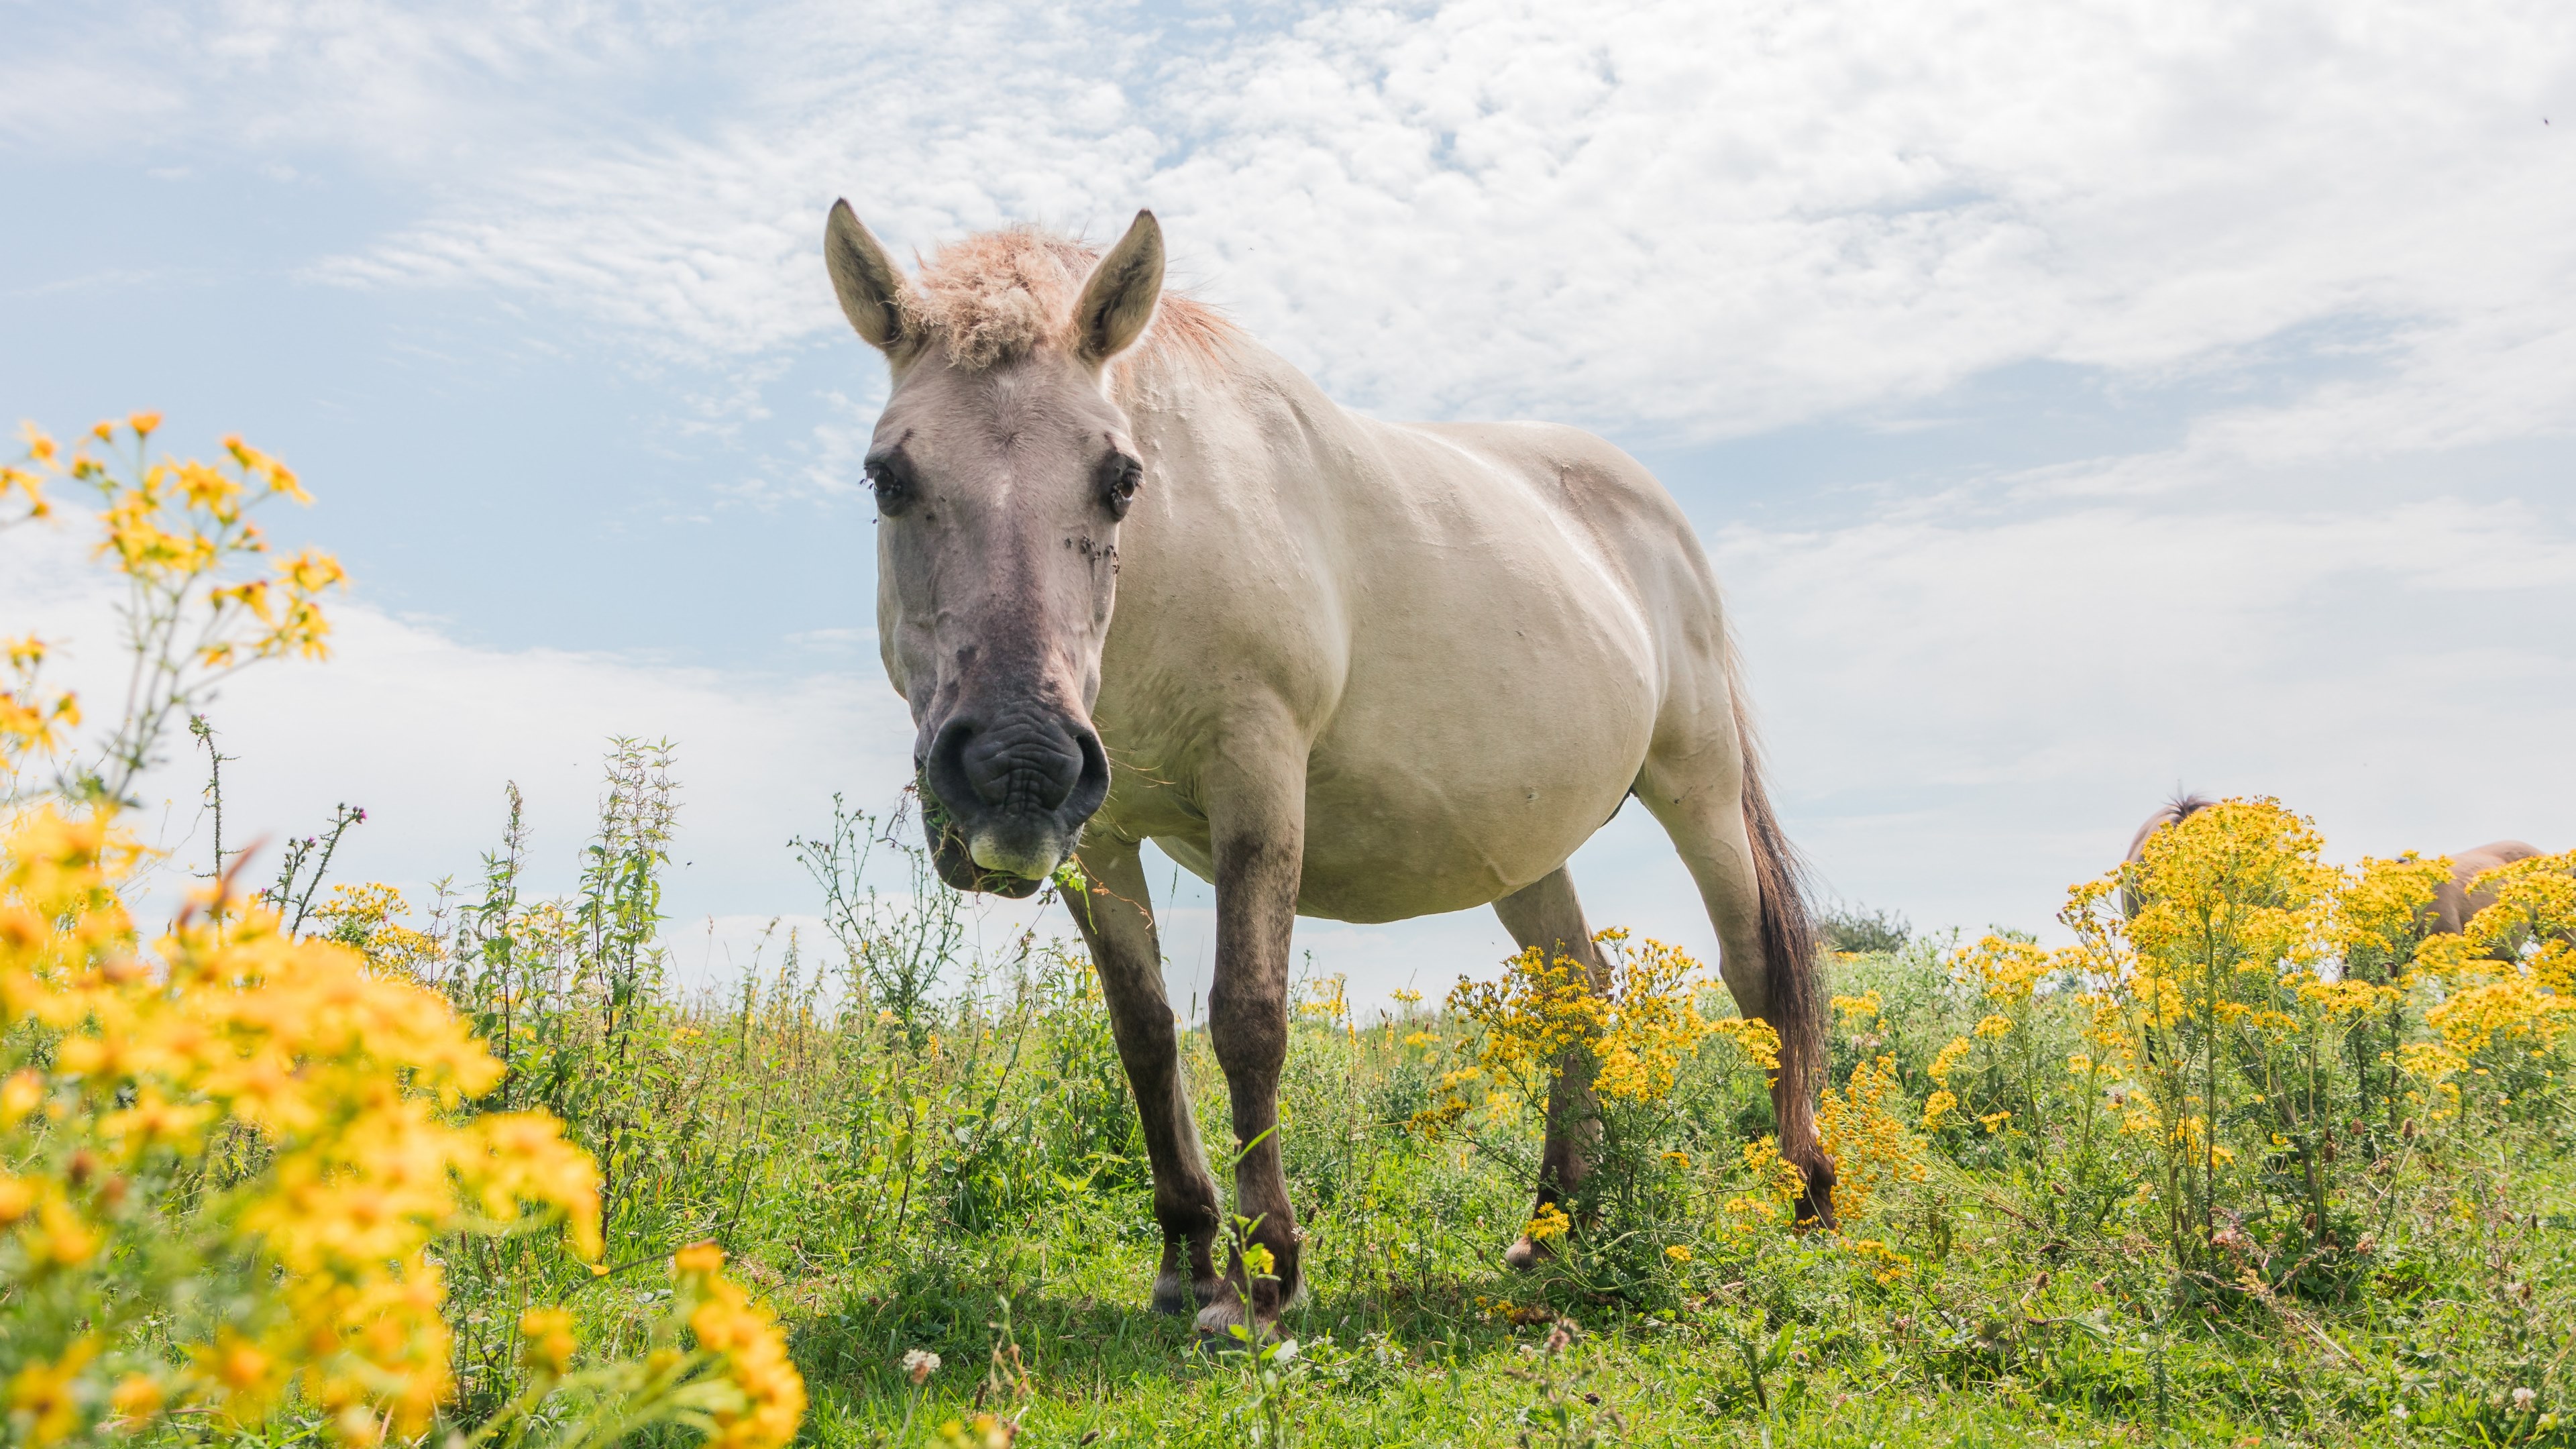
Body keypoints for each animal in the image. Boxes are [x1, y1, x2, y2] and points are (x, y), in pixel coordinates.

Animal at [821, 202, 1833, 1338]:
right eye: (889, 476)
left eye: (1120, 478)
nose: (1019, 768)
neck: (1167, 570)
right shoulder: (1101, 843)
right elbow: (1146, 1034)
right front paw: (1187, 1260)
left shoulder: (1258, 778)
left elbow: (1248, 1018)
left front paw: (1267, 1278)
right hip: (1527, 851)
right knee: (1578, 993)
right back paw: (1557, 1222)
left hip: (1697, 787)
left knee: (1758, 972)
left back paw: (1801, 1200)